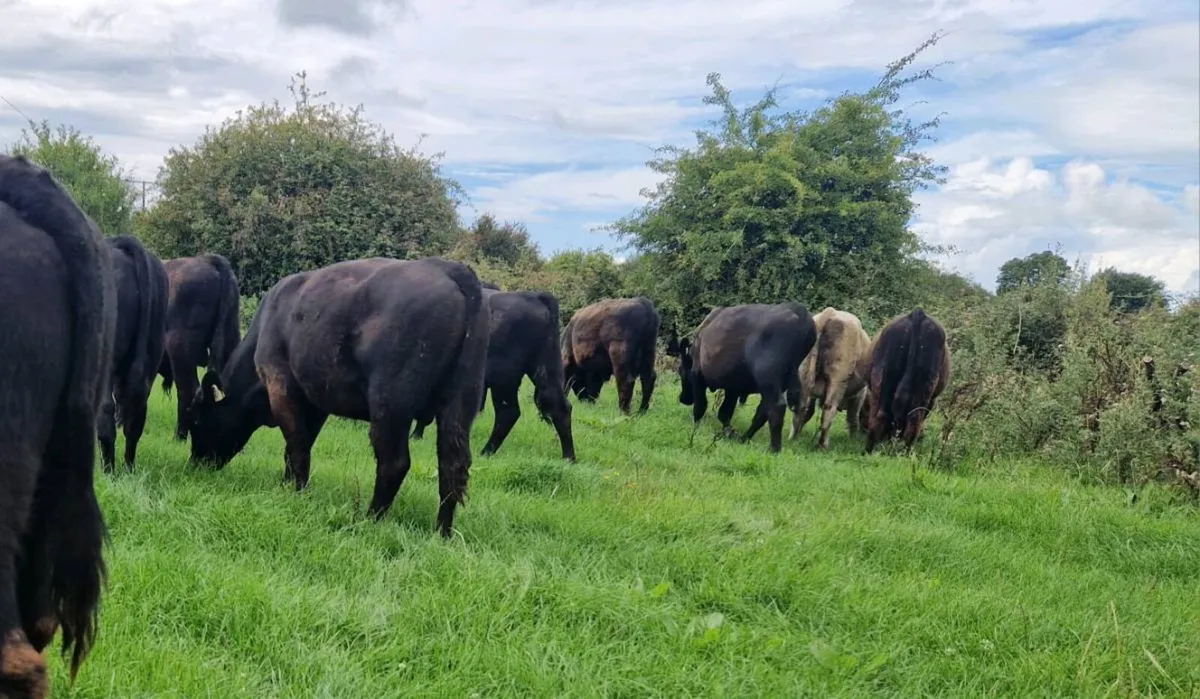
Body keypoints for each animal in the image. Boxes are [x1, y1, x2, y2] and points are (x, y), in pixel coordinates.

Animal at [185, 256, 490, 538]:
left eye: (197, 423)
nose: (195, 465)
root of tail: (448, 269)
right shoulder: (316, 402)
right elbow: (300, 445)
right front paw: (288, 485)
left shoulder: (281, 386)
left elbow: (296, 444)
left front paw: (298, 493)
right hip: (458, 406)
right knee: (452, 467)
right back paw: (442, 532)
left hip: (390, 404)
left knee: (394, 462)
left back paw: (370, 519)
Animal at [412, 288, 576, 461]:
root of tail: (532, 297)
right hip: (544, 369)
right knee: (557, 407)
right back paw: (569, 458)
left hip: (503, 378)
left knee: (508, 412)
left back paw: (485, 452)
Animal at [668, 302, 817, 453]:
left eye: (681, 372)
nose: (683, 399)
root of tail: (798, 311)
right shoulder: (733, 387)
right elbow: (724, 412)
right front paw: (728, 433)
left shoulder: (698, 377)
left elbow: (700, 407)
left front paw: (695, 429)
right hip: (784, 380)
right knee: (764, 412)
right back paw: (744, 438)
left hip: (767, 377)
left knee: (776, 407)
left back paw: (774, 449)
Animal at [790, 307, 872, 449]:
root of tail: (829, 313)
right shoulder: (860, 394)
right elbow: (853, 417)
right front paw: (853, 439)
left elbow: (809, 411)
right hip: (838, 380)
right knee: (829, 409)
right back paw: (823, 445)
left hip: (804, 374)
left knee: (801, 408)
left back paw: (793, 438)